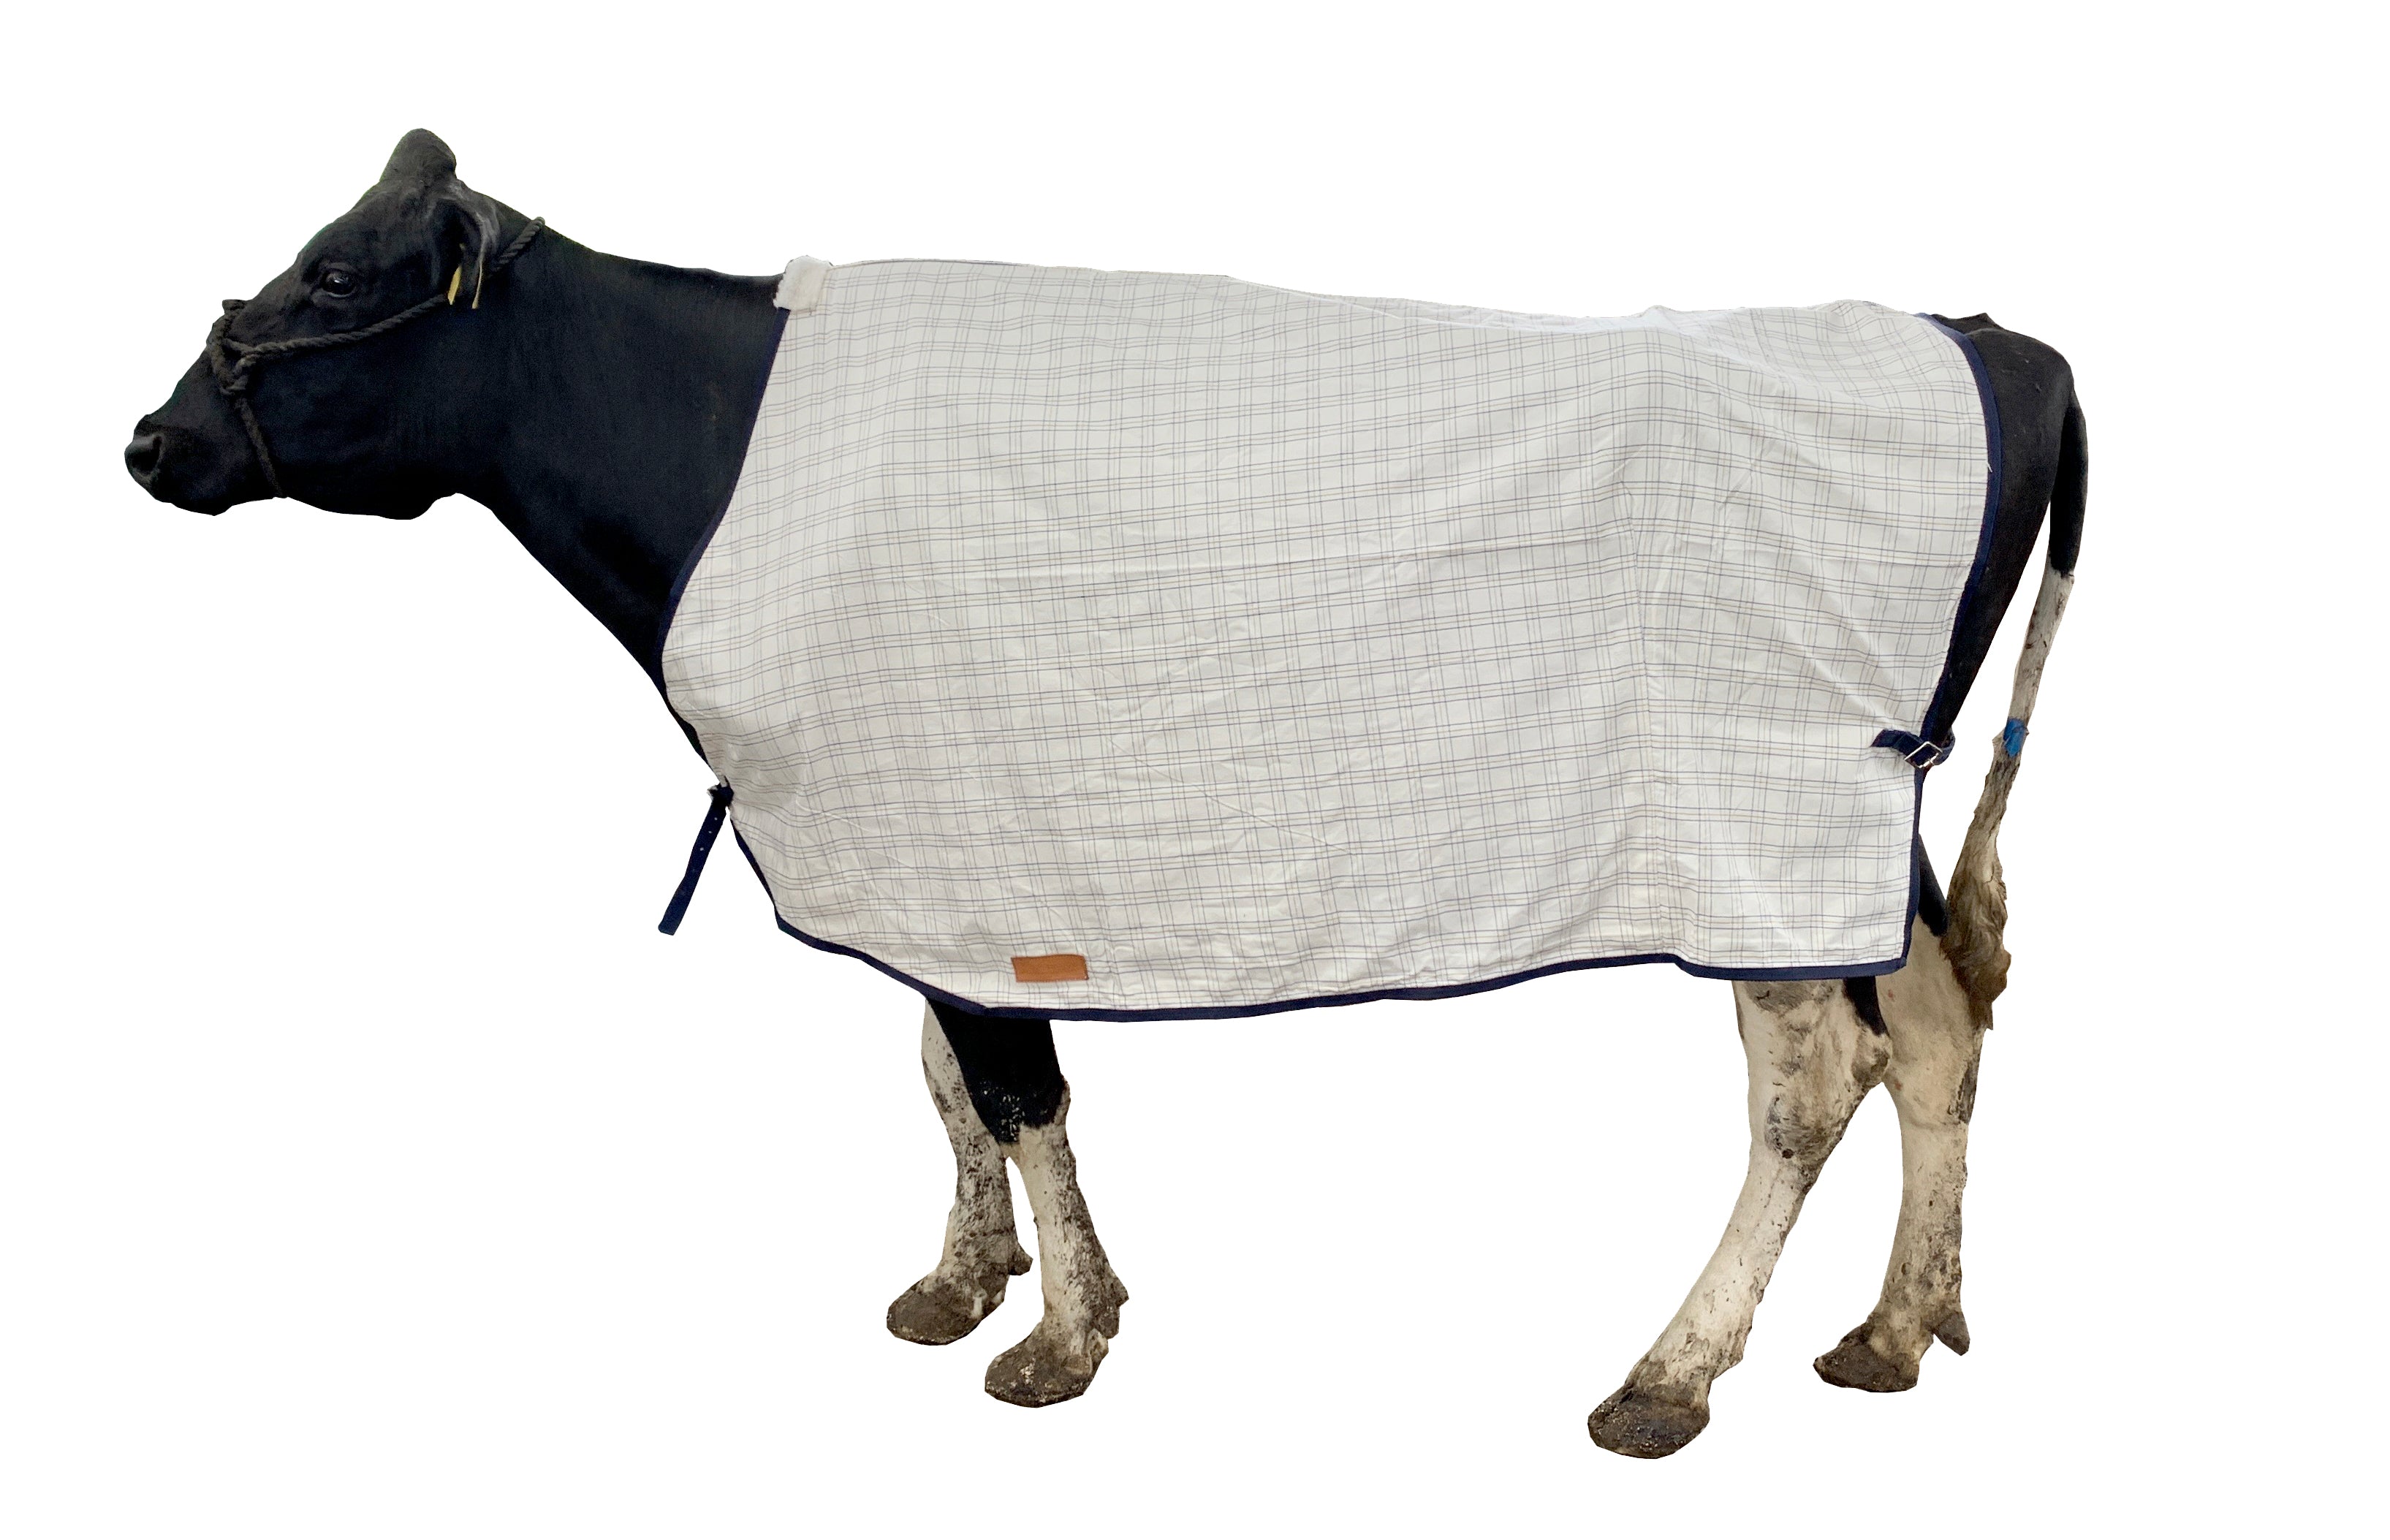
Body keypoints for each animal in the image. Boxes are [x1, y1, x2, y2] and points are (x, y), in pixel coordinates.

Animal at [125, 130, 2086, 1459]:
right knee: (1939, 1020)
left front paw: (1060, 1340)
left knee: (1812, 1081)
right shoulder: (917, 848)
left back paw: (1670, 1376)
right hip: (1864, 829)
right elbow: (944, 1076)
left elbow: (1013, 1086)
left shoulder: (957, 847)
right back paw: (1899, 1325)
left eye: (333, 279)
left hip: (1761, 834)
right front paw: (963, 1281)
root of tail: (1987, 334)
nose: (152, 438)